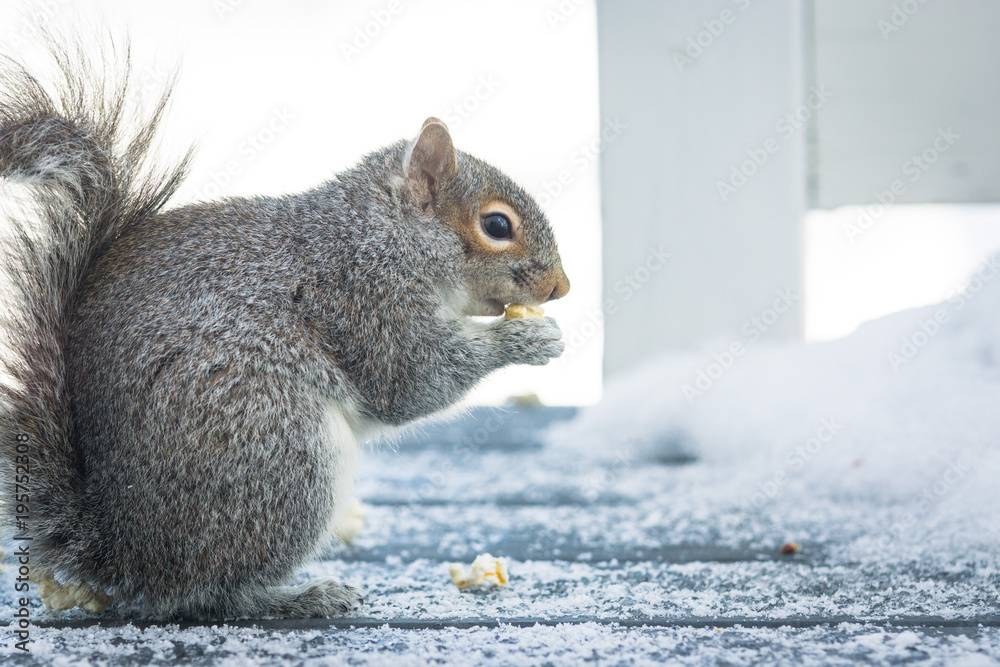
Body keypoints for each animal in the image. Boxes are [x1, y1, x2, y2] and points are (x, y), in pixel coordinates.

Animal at [0, 40, 569, 619]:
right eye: (497, 225)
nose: (561, 288)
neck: (381, 234)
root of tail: (123, 549)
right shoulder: (364, 299)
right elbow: (413, 379)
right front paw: (525, 340)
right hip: (281, 452)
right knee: (211, 594)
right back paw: (301, 596)